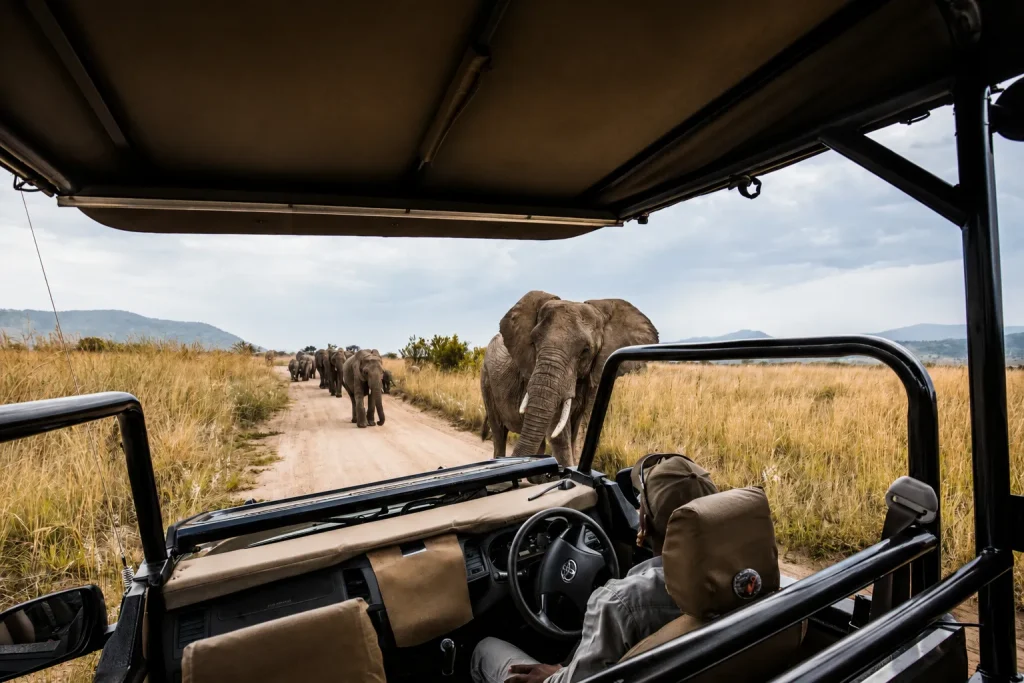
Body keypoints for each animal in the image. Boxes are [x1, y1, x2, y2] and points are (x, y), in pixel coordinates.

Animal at [480, 290, 658, 467]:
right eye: (534, 342)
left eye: (586, 350)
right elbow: (559, 435)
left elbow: (582, 430)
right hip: (486, 380)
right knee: (499, 432)